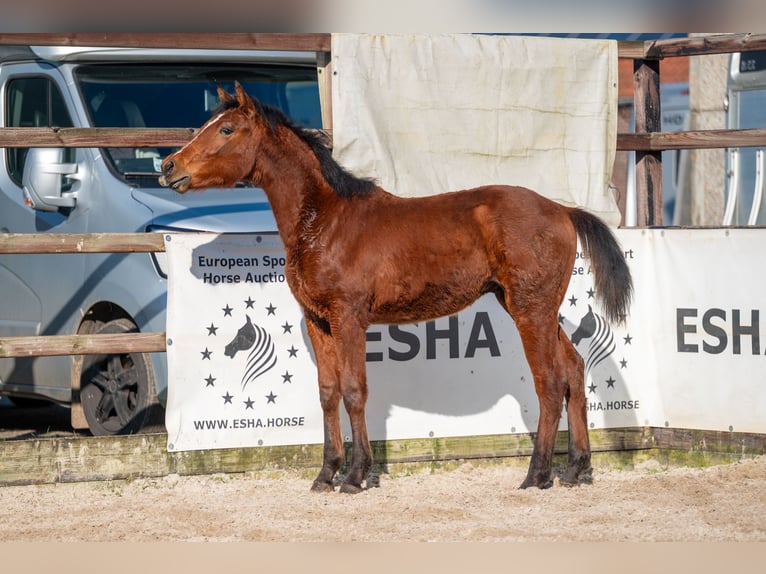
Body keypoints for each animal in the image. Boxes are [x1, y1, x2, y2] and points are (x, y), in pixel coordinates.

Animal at [160, 83, 633, 493]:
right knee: (573, 370)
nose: (169, 167)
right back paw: (575, 470)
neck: (325, 221)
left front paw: (355, 477)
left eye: (226, 129)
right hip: (537, 309)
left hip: (530, 310)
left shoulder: (348, 316)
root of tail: (563, 210)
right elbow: (328, 393)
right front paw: (326, 474)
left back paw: (537, 475)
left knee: (550, 382)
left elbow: (354, 391)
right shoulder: (318, 321)